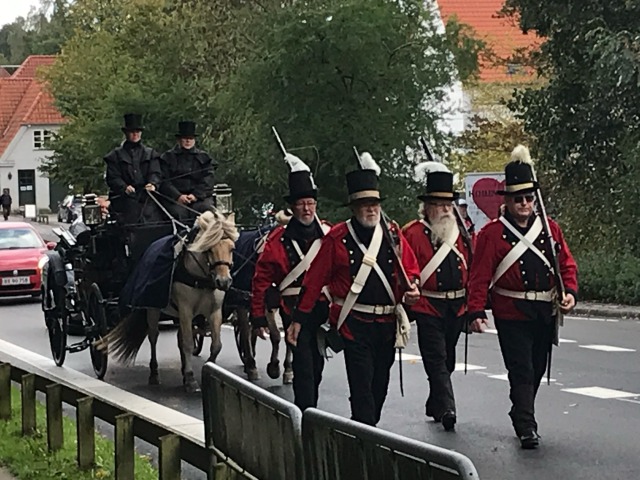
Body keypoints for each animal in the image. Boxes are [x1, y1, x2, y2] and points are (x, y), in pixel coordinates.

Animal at [104, 210, 238, 394]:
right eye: (209, 249)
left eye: (232, 248)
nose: (224, 282)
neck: (200, 277)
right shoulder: (186, 310)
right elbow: (188, 343)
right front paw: (191, 379)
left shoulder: (214, 311)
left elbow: (216, 345)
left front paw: (206, 369)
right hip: (153, 309)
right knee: (153, 336)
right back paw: (155, 374)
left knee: (179, 338)